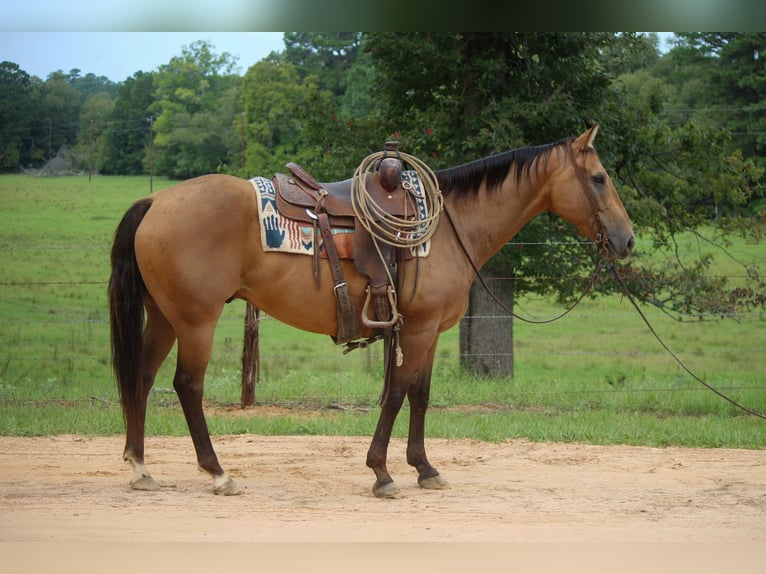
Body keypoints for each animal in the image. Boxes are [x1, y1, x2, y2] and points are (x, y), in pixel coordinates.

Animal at [108, 125, 636, 500]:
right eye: (599, 178)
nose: (628, 239)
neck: (448, 227)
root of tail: (155, 200)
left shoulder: (431, 331)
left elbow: (421, 395)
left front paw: (424, 468)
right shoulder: (417, 329)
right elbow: (398, 393)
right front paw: (382, 472)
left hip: (164, 318)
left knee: (142, 377)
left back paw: (139, 466)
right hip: (196, 321)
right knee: (187, 387)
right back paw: (218, 473)